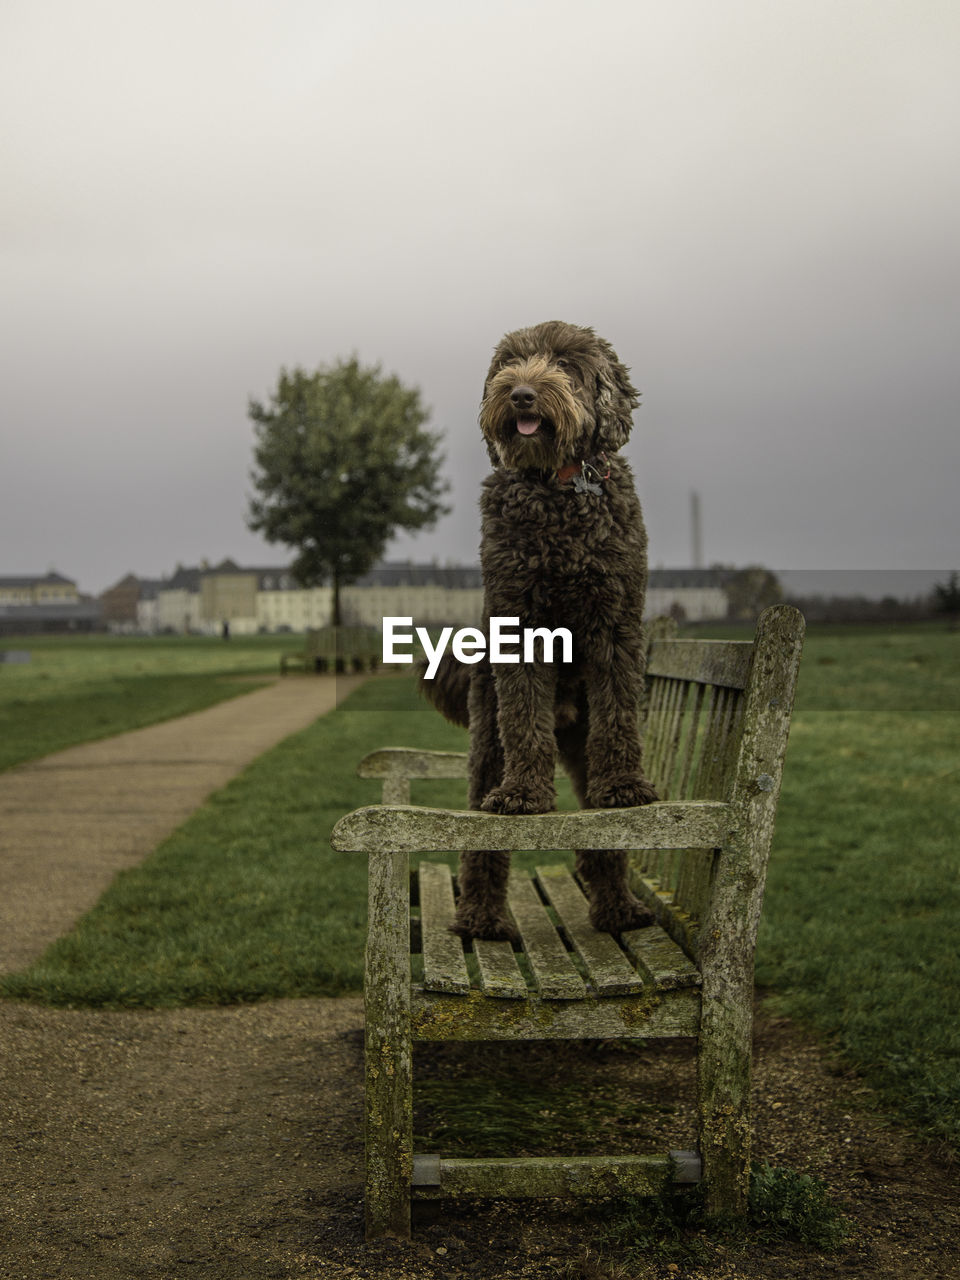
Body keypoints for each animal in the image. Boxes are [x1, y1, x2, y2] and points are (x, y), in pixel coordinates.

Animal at [422, 320, 660, 942]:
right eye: (510, 362)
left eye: (565, 363)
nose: (522, 394)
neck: (559, 491)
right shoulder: (519, 623)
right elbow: (524, 718)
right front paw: (525, 794)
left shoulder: (616, 623)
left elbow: (620, 715)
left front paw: (625, 787)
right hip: (487, 737)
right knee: (480, 833)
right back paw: (481, 915)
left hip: (578, 742)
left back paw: (617, 908)